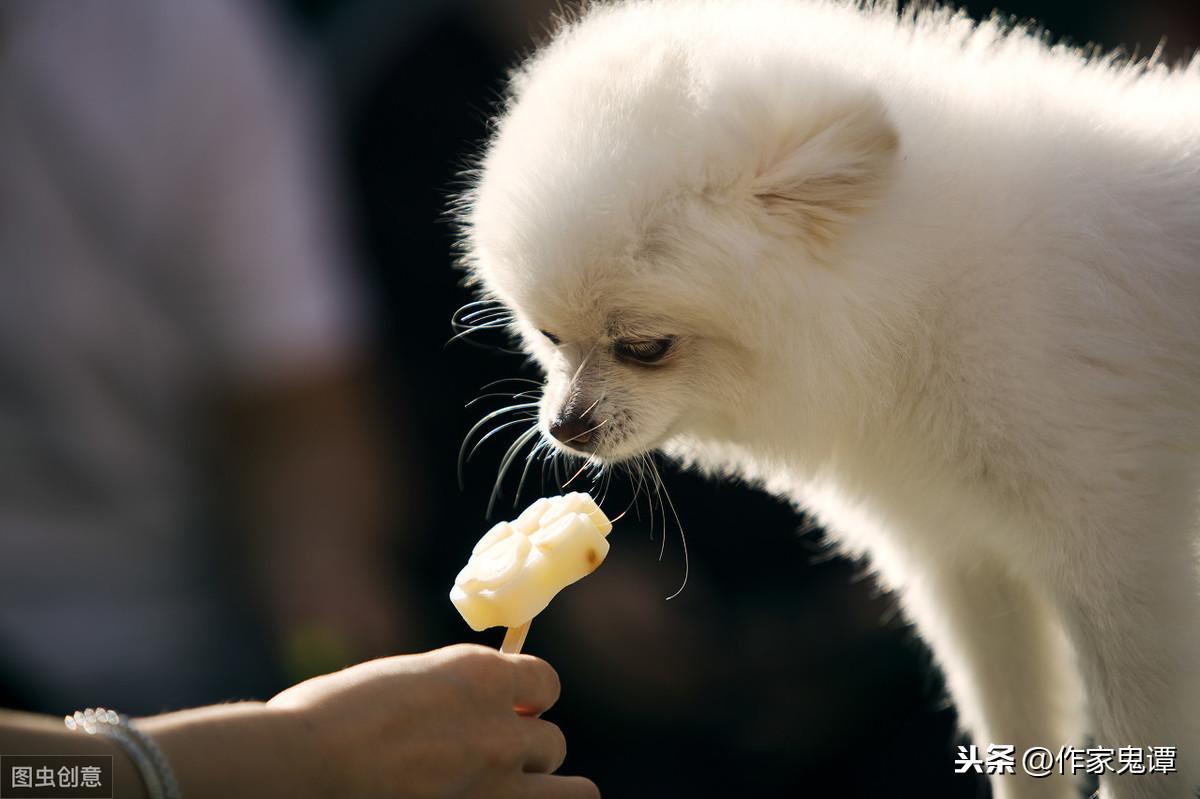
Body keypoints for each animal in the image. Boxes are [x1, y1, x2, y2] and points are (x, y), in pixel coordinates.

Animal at [456, 3, 1200, 791]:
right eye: (550, 337)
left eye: (646, 348)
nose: (566, 427)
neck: (928, 305)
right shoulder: (969, 561)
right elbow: (1017, 734)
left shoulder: (1118, 556)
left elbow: (1139, 741)